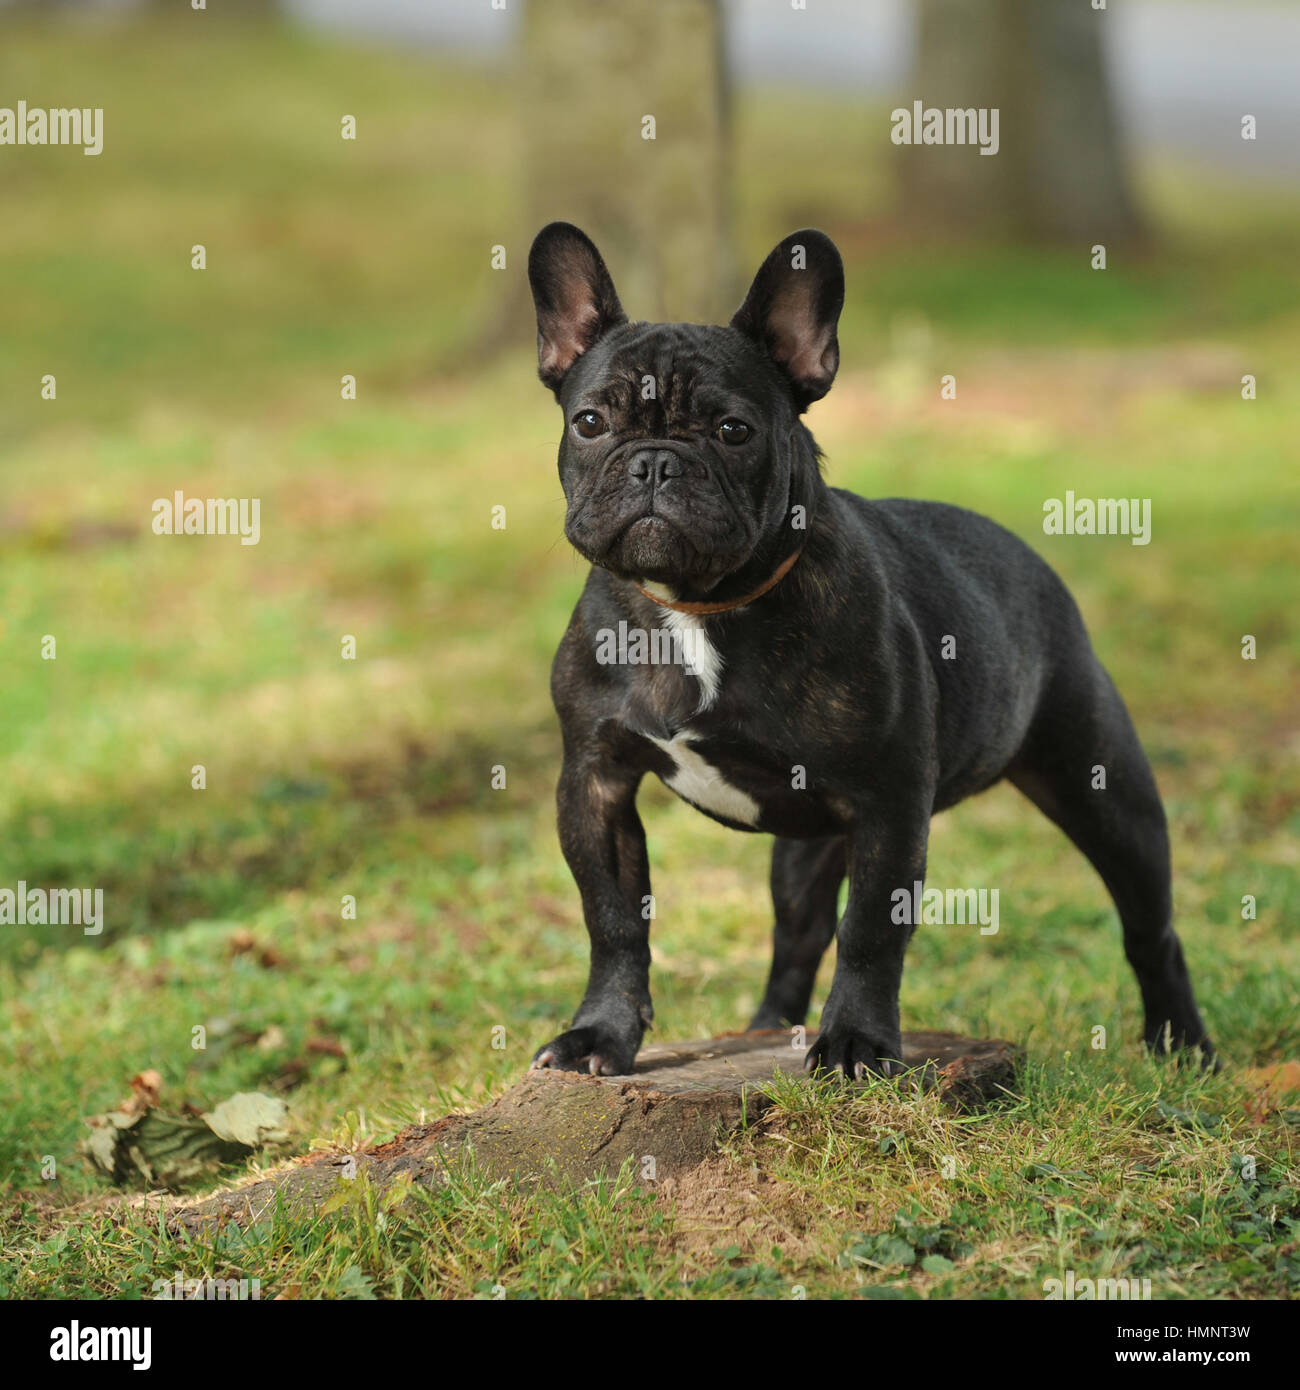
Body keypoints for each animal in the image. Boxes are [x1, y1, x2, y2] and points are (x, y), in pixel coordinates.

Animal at [522, 222, 1212, 1078]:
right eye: (590, 423)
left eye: (733, 431)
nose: (655, 460)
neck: (695, 606)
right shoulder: (596, 783)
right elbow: (614, 919)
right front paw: (600, 1035)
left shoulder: (888, 800)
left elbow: (873, 931)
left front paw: (856, 1042)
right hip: (806, 846)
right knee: (796, 933)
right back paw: (764, 1029)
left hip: (1104, 790)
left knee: (1151, 926)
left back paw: (1183, 1043)